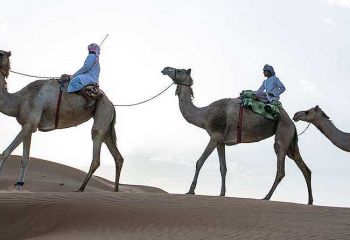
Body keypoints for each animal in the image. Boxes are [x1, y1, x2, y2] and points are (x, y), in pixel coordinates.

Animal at [0, 50, 124, 191]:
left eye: (1, 53)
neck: (19, 100)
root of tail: (112, 105)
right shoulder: (28, 126)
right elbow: (25, 159)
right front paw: (19, 185)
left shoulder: (29, 124)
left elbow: (5, 152)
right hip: (107, 122)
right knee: (116, 154)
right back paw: (115, 190)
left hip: (102, 111)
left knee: (96, 143)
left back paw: (80, 189)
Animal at [163, 66, 314, 204]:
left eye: (180, 70)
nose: (165, 69)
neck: (204, 115)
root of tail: (291, 122)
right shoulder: (220, 141)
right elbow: (223, 168)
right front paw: (222, 193)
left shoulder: (215, 136)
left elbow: (199, 162)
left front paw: (191, 190)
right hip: (291, 142)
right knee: (304, 167)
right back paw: (310, 201)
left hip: (283, 131)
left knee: (280, 167)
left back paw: (266, 197)